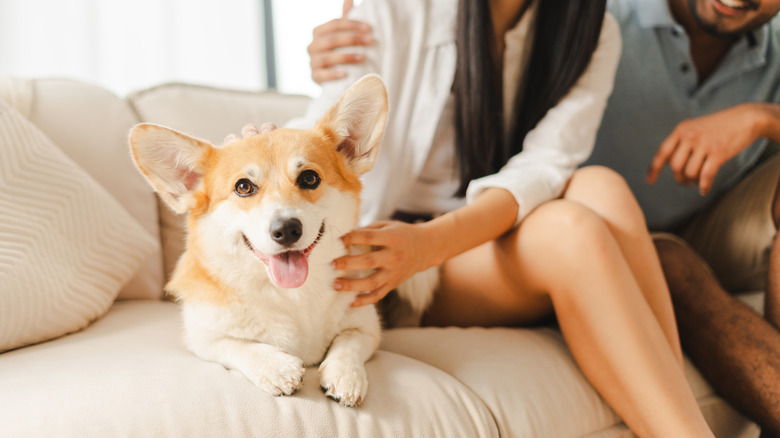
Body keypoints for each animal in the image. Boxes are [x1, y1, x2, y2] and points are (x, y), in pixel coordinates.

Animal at [128, 75, 432, 408]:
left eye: (310, 178)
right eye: (243, 187)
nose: (286, 230)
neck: (294, 295)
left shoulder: (367, 328)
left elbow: (349, 341)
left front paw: (345, 375)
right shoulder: (204, 338)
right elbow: (238, 345)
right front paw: (276, 368)